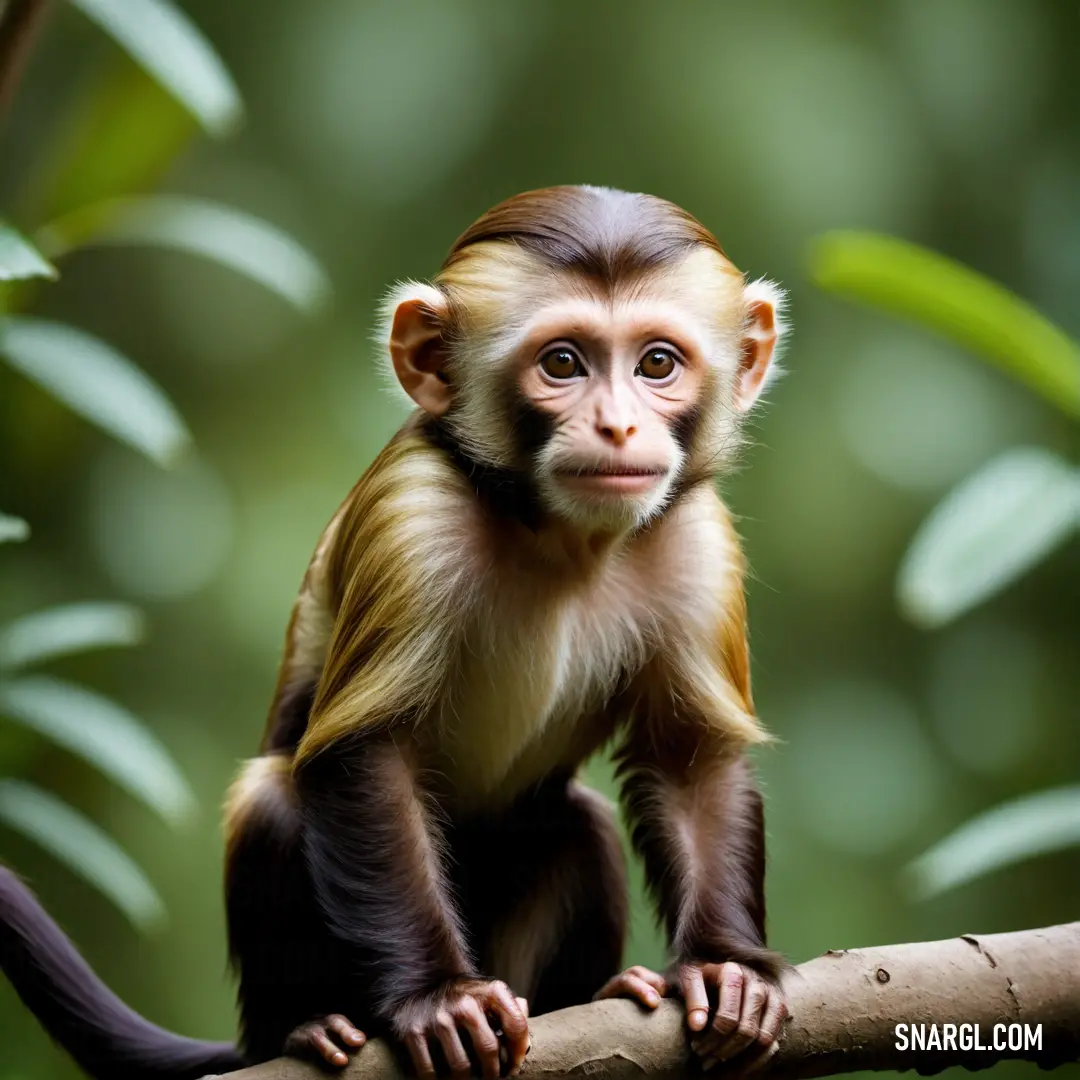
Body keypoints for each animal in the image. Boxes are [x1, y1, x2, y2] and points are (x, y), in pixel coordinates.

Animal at [0, 185, 794, 1080]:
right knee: (274, 799)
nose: (620, 426)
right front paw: (439, 999)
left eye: (657, 364)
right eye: (563, 364)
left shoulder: (697, 537)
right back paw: (307, 1027)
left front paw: (726, 968)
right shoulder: (412, 514)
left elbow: (690, 759)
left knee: (580, 826)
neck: (557, 536)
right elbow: (363, 749)